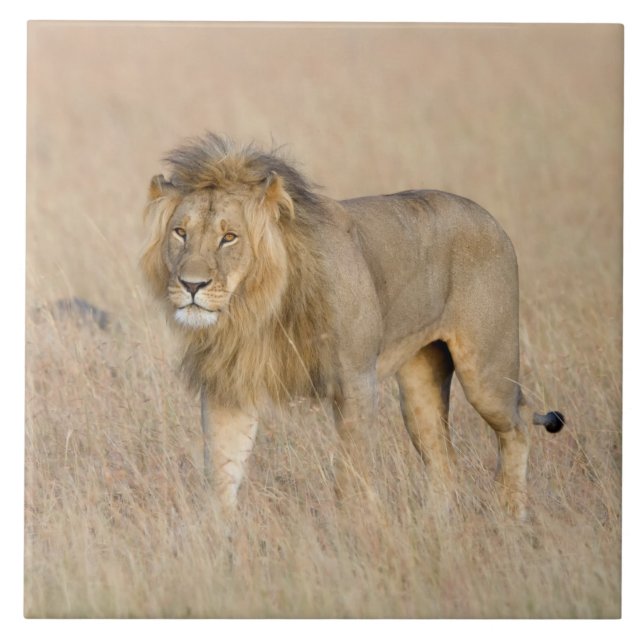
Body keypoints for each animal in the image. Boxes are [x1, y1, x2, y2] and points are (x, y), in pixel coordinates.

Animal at [141, 133, 564, 519]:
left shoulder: (356, 380)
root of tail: (487, 217)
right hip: (420, 386)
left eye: (229, 237)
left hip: (486, 371)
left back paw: (510, 514)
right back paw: (437, 525)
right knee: (444, 459)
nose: (191, 285)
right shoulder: (228, 385)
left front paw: (358, 528)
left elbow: (353, 472)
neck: (257, 307)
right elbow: (222, 471)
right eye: (181, 233)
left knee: (519, 422)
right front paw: (218, 537)